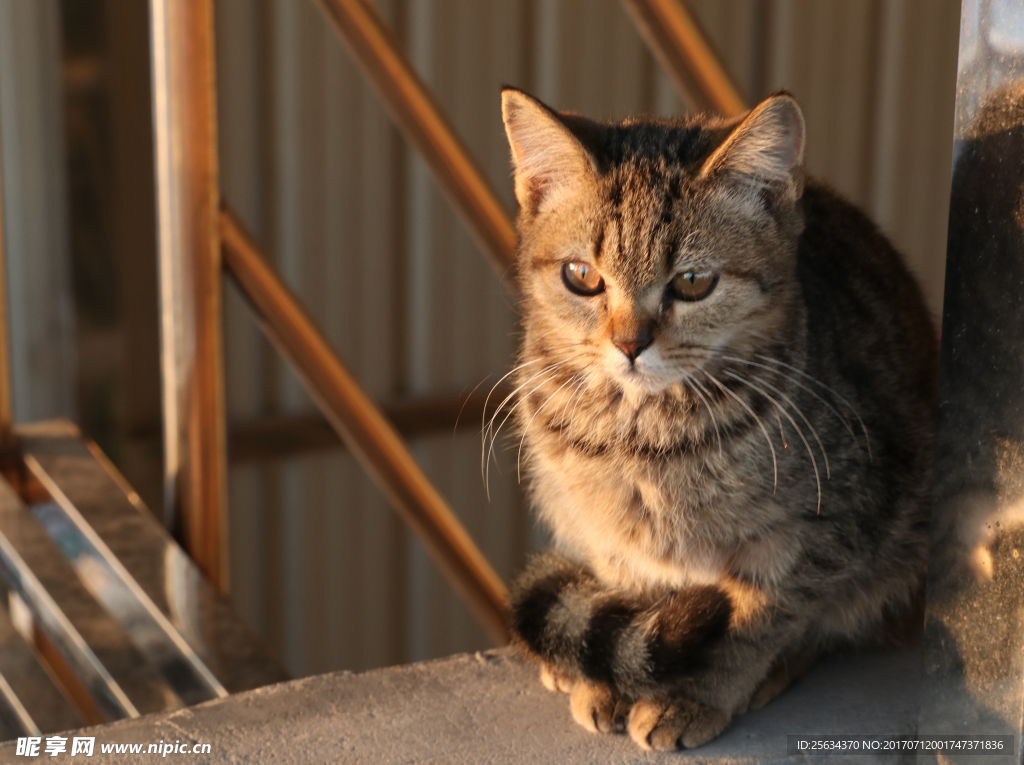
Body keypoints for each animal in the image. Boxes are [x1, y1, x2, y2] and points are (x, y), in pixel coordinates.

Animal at [495, 86, 937, 749]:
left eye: (694, 282)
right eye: (581, 277)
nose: (629, 344)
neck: (646, 438)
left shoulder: (827, 530)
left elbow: (754, 622)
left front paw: (694, 694)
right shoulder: (609, 534)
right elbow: (636, 600)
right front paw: (612, 678)